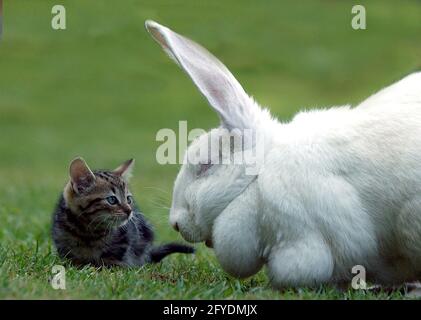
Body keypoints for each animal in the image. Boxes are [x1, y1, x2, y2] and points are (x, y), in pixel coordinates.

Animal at [51, 158, 194, 268]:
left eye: (128, 199)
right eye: (112, 200)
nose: (129, 210)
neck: (89, 231)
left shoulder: (125, 240)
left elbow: (114, 258)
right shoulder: (62, 240)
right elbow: (71, 257)